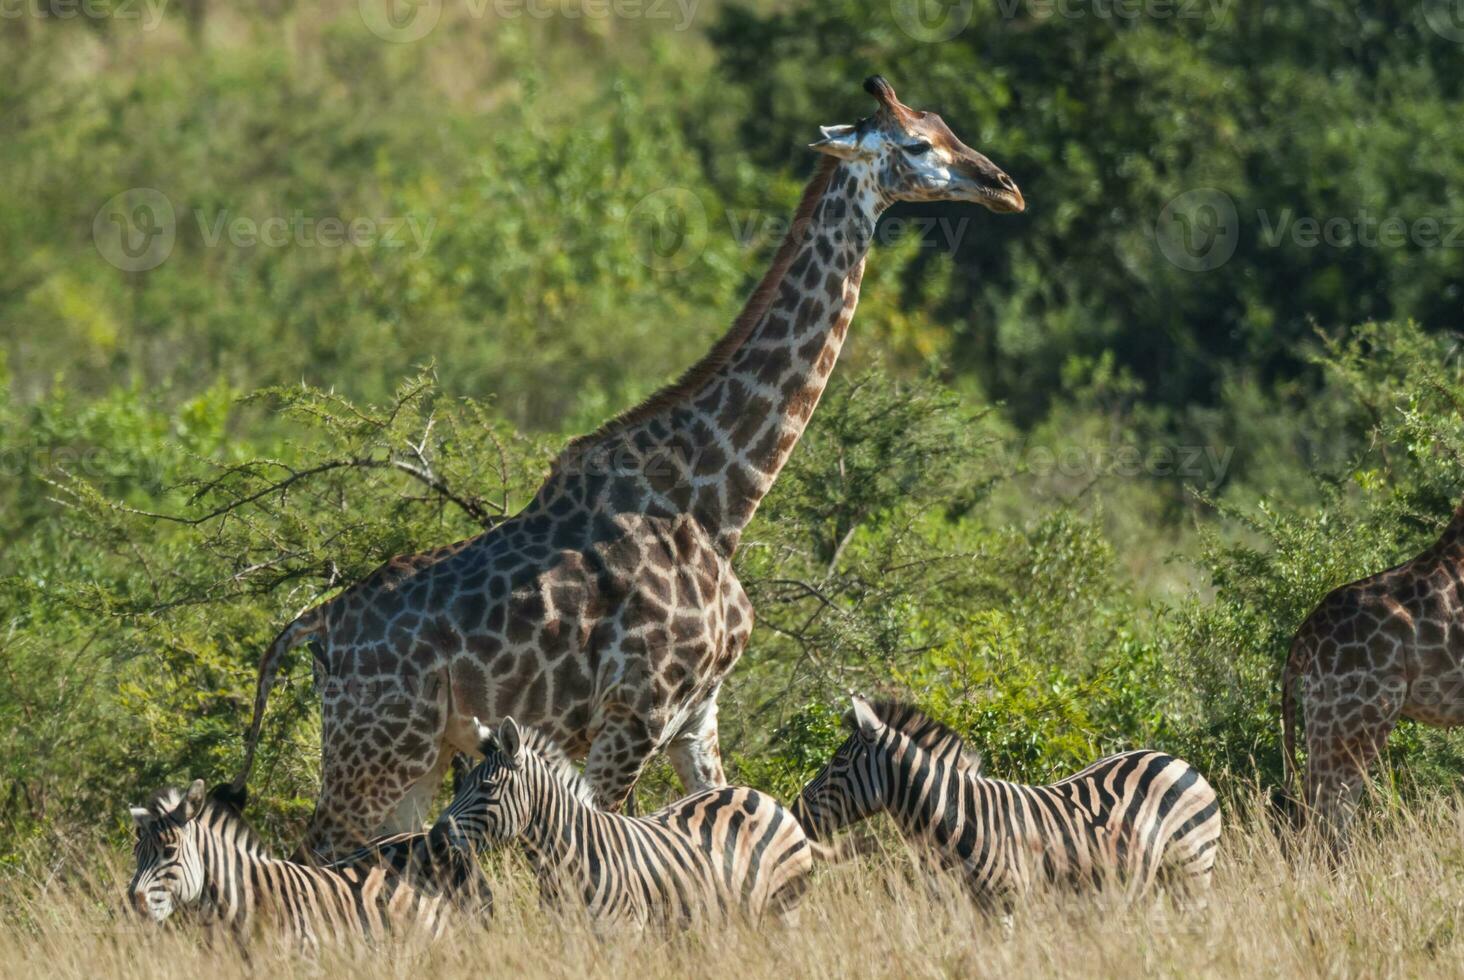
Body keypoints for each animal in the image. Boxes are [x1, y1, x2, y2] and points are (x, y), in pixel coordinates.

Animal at [234, 74, 1024, 855]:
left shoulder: (696, 719)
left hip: (416, 757)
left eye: (945, 124)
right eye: (917, 144)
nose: (1005, 187)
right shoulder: (635, 713)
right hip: (376, 750)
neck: (718, 503)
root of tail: (315, 625)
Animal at [433, 714, 825, 931]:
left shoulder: (624, 932)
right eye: (461, 786)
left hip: (783, 905)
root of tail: (761, 795)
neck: (567, 857)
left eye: (486, 787)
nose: (436, 837)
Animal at [796, 694, 1218, 908]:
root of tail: (1176, 759)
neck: (957, 817)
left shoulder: (1007, 900)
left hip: (1192, 867)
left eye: (838, 762)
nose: (797, 811)